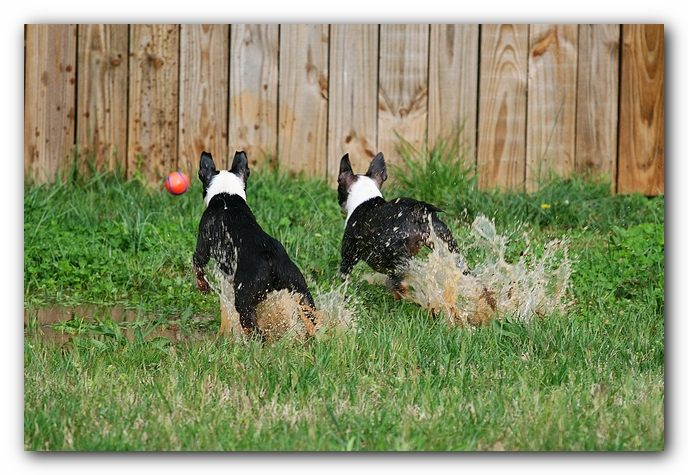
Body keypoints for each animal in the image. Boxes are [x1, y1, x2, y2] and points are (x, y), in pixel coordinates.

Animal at [192, 151, 318, 336]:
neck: (226, 196)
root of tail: (268, 256)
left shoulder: (203, 244)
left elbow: (197, 264)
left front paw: (203, 286)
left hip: (244, 300)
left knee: (256, 332)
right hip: (301, 290)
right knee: (312, 318)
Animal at [338, 152, 470, 300]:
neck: (365, 197)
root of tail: (419, 209)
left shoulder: (349, 254)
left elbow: (344, 275)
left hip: (392, 253)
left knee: (396, 281)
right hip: (448, 243)